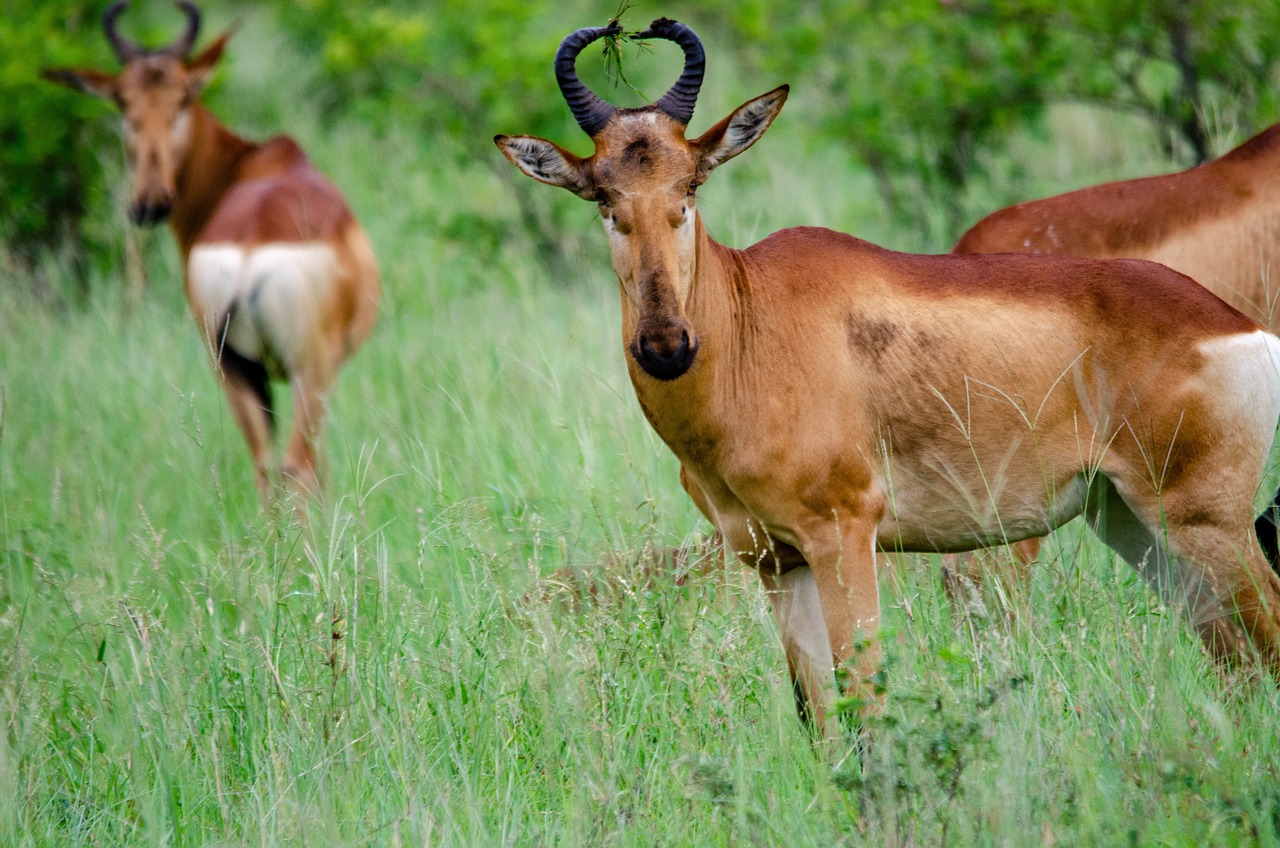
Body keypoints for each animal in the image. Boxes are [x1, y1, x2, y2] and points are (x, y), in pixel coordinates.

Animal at [41, 3, 378, 502]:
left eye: (182, 97)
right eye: (123, 100)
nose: (149, 203)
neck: (254, 166)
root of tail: (252, 247)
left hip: (231, 366)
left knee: (266, 467)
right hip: (308, 369)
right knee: (296, 467)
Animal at [491, 19, 1280, 737]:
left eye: (689, 183)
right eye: (602, 196)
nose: (665, 345)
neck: (753, 321)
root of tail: (1235, 325)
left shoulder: (845, 533)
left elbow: (864, 697)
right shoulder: (776, 559)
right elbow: (819, 717)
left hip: (1202, 520)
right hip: (1128, 520)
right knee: (1233, 661)